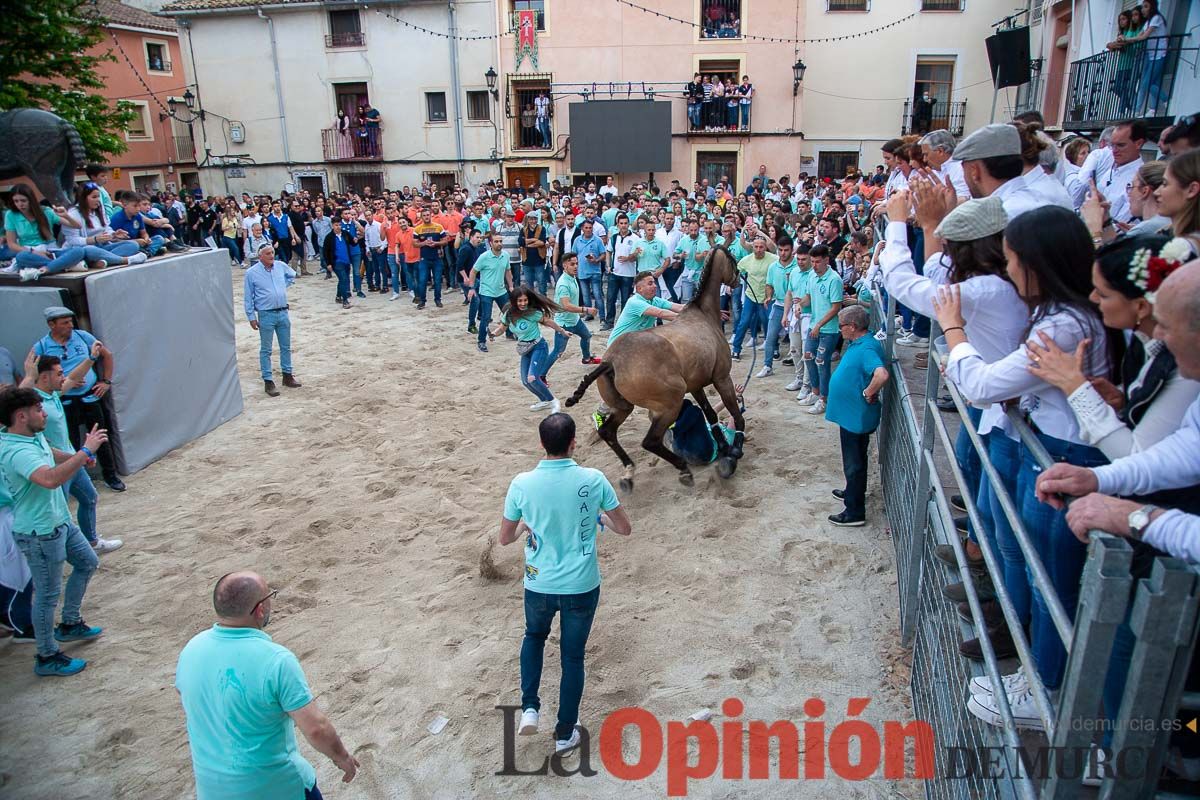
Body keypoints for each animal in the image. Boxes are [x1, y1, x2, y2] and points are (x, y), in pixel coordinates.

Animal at [564, 247, 748, 491]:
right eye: (732, 259)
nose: (740, 279)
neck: (703, 315)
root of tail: (610, 361)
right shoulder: (722, 378)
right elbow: (736, 414)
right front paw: (734, 450)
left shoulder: (697, 386)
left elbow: (710, 414)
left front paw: (725, 447)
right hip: (670, 404)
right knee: (650, 441)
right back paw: (683, 469)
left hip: (624, 407)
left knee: (608, 432)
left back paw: (628, 473)